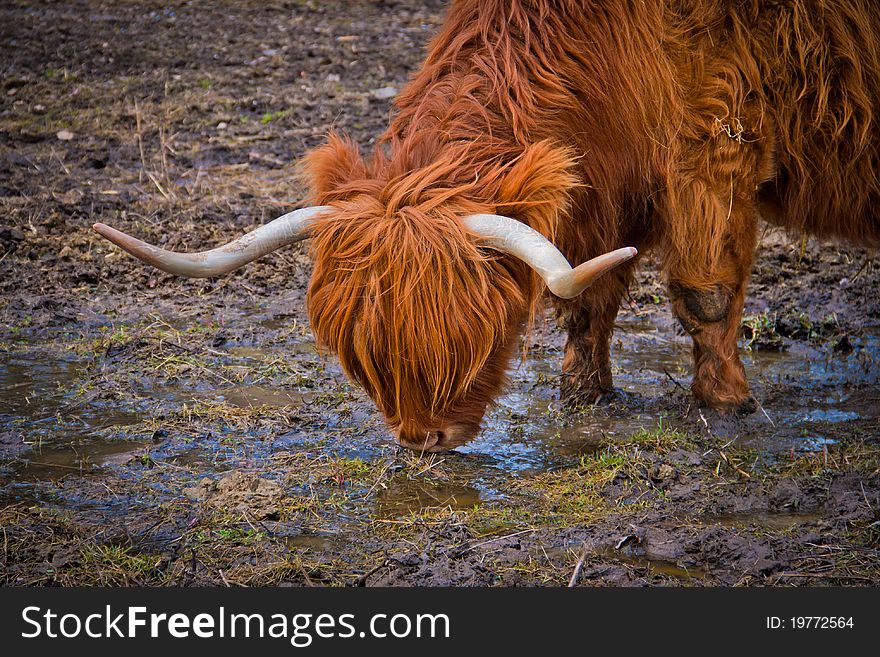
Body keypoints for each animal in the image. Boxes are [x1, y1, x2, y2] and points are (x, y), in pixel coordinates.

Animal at [94, 0, 880, 452]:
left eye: (470, 341)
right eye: (361, 355)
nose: (424, 440)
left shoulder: (718, 149)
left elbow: (704, 293)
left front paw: (726, 401)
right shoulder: (604, 185)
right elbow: (584, 295)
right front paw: (584, 396)